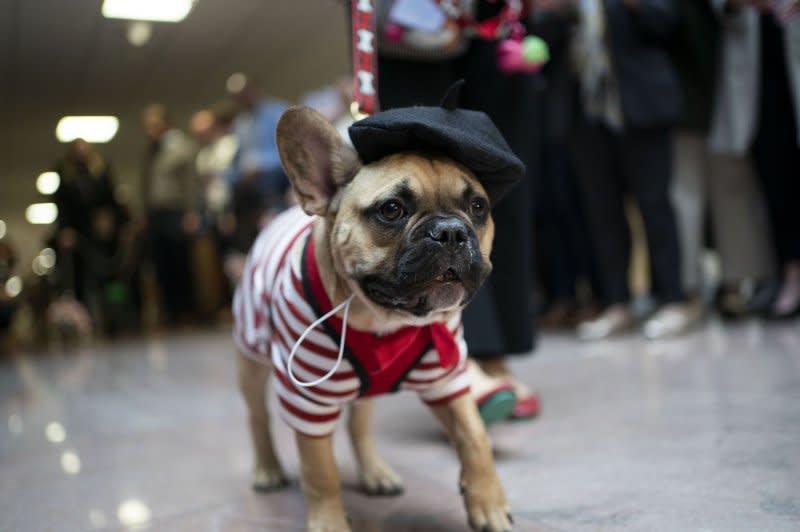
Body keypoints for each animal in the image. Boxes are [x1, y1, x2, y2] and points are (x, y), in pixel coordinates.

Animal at [233, 81, 520, 528]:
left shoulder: (447, 380)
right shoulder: (308, 402)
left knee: (360, 426)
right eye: (391, 210)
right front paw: (330, 522)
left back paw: (375, 472)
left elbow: (475, 437)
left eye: (478, 207)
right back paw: (267, 468)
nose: (452, 232)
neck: (385, 319)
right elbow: (321, 472)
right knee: (257, 416)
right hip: (252, 362)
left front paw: (487, 503)